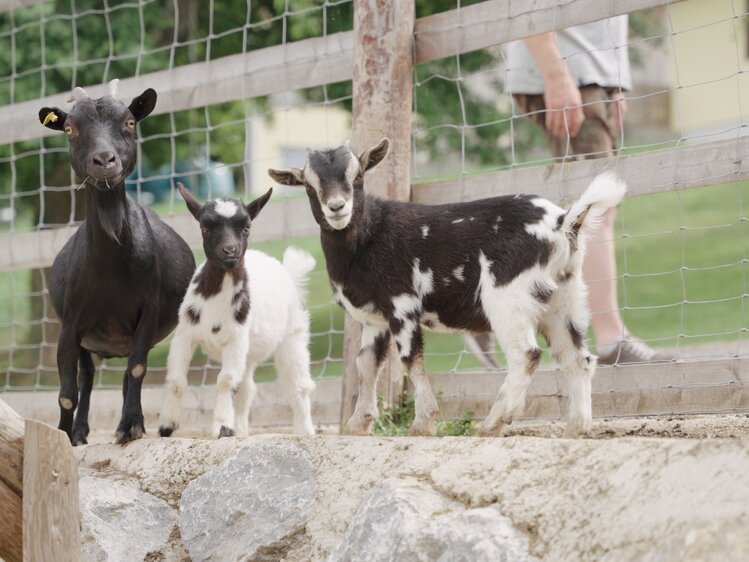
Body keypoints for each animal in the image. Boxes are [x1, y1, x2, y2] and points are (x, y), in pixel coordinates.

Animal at [39, 81, 194, 444]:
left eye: (130, 122)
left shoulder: (148, 309)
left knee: (124, 373)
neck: (110, 268)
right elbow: (67, 393)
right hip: (86, 338)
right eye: (70, 128)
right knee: (87, 376)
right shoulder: (70, 323)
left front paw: (131, 426)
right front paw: (64, 435)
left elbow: (136, 368)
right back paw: (80, 430)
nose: (104, 159)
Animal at [159, 184, 318, 438]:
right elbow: (176, 380)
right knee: (246, 389)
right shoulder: (185, 334)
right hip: (249, 352)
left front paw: (222, 426)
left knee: (298, 386)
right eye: (204, 227)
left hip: (292, 336)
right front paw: (167, 425)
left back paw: (305, 431)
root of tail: (286, 272)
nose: (230, 250)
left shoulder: (235, 339)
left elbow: (225, 380)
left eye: (247, 227)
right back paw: (242, 431)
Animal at [268, 138, 624, 436]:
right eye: (308, 184)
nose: (337, 207)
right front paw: (357, 424)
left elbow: (410, 359)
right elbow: (366, 365)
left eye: (357, 176)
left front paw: (423, 423)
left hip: (507, 296)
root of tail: (563, 223)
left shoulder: (402, 305)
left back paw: (493, 423)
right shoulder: (373, 319)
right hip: (564, 298)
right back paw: (576, 428)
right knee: (578, 358)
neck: (368, 237)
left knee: (526, 354)